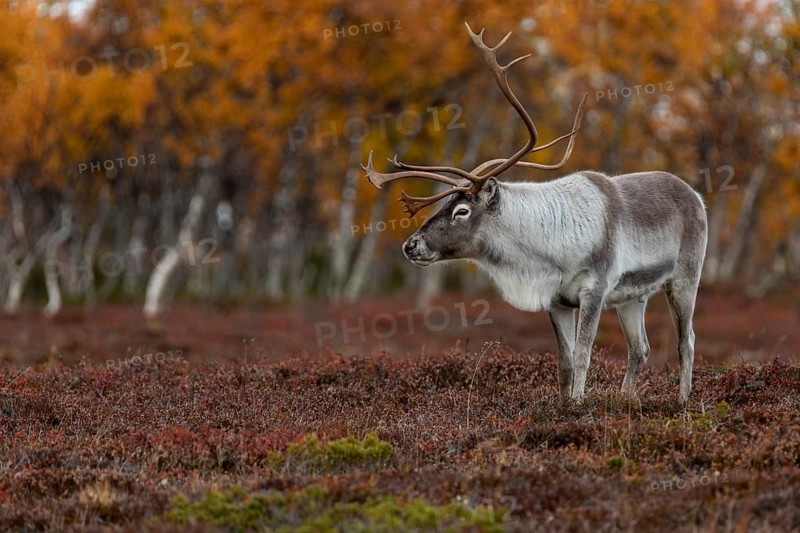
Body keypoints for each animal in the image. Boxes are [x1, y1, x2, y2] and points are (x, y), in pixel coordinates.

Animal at [362, 23, 708, 403]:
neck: (545, 250)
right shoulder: (556, 300)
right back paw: (625, 400)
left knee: (687, 341)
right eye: (444, 205)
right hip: (634, 295)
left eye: (462, 211)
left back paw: (683, 401)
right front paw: (563, 406)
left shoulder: (594, 290)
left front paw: (578, 405)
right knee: (640, 349)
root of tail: (696, 196)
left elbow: (584, 354)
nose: (411, 245)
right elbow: (564, 362)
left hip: (684, 277)